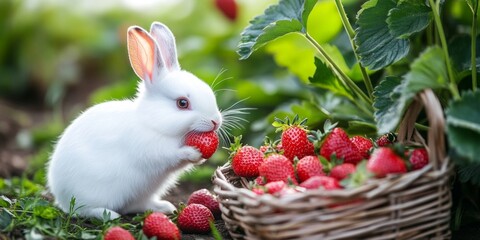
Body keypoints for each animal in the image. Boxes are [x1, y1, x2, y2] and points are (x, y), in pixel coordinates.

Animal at [47, 22, 223, 219]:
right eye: (182, 103)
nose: (216, 121)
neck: (154, 123)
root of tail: (59, 196)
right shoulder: (153, 150)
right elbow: (172, 154)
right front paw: (192, 153)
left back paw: (164, 207)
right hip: (90, 196)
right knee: (82, 210)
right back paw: (109, 215)